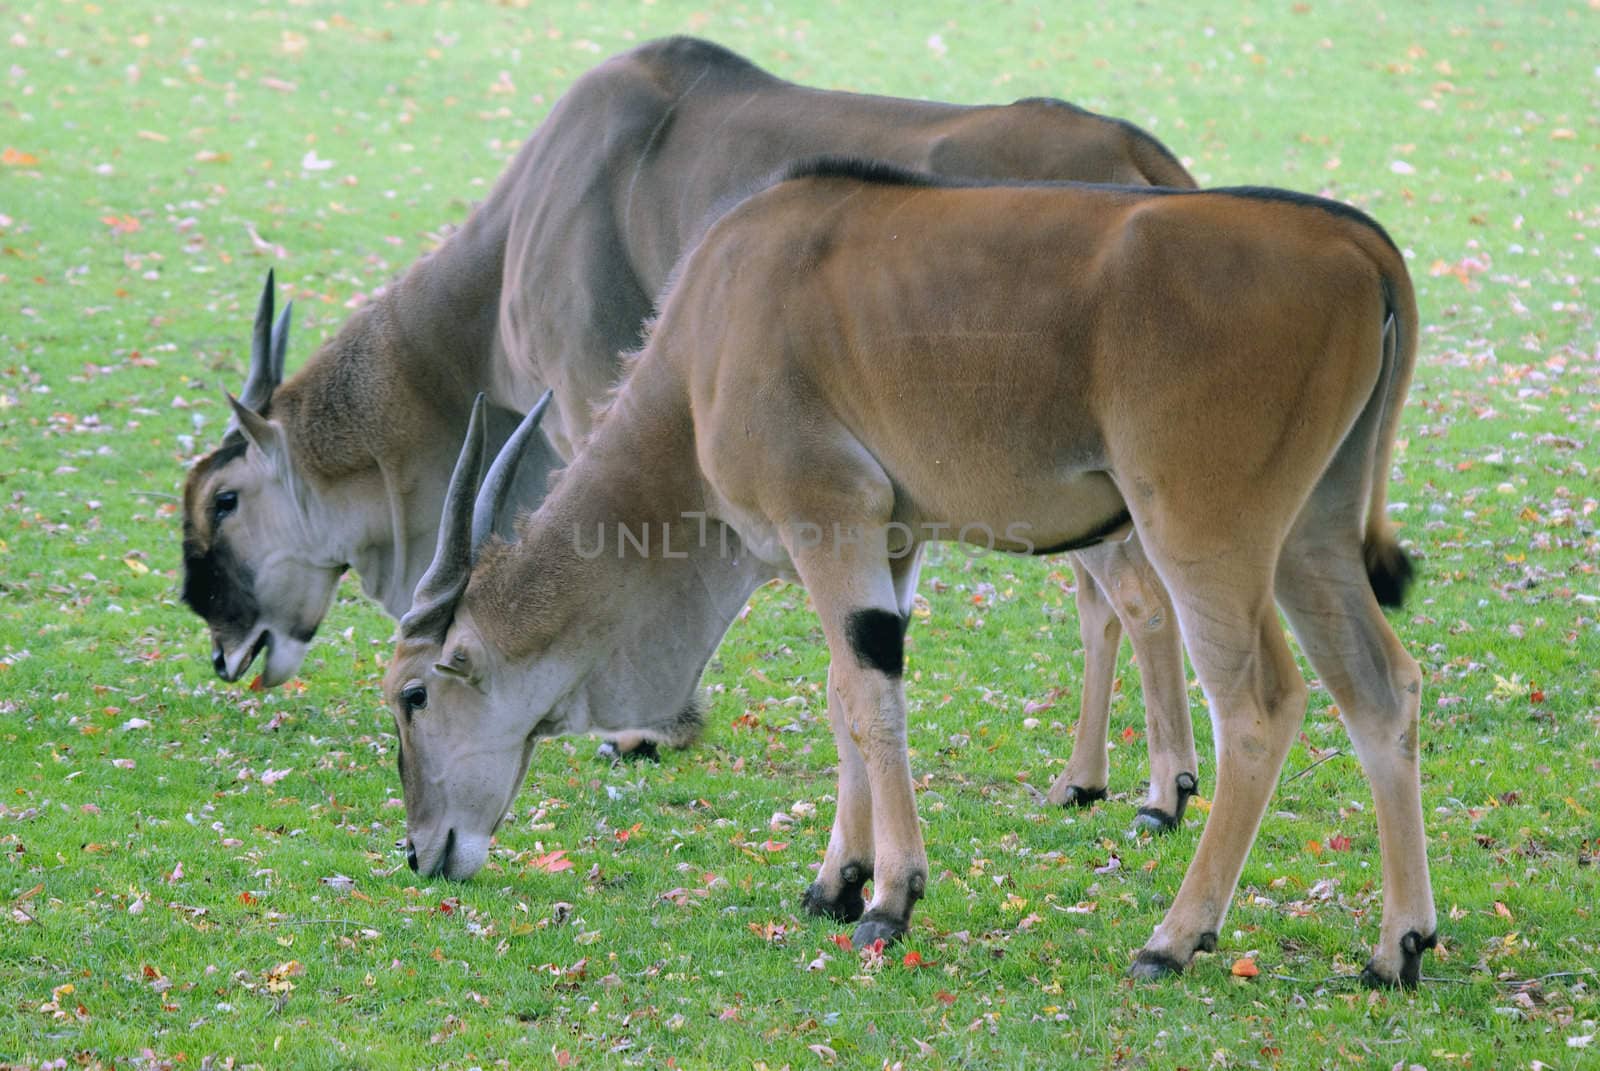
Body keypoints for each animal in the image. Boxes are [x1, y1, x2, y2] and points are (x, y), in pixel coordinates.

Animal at [178, 33, 1203, 826]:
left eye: (223, 501)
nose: (221, 646)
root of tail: (1145, 159)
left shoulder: (594, 399)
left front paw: (641, 732)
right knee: (1104, 606)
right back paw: (1083, 780)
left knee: (1144, 601)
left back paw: (1163, 791)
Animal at [384, 158, 1440, 986]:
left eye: (411, 698)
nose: (420, 851)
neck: (704, 346)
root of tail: (1356, 245)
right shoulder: (890, 541)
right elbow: (846, 690)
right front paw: (835, 880)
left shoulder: (830, 521)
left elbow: (867, 694)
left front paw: (890, 898)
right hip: (1312, 536)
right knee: (1381, 688)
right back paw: (1398, 947)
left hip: (1204, 535)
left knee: (1259, 707)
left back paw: (1173, 937)